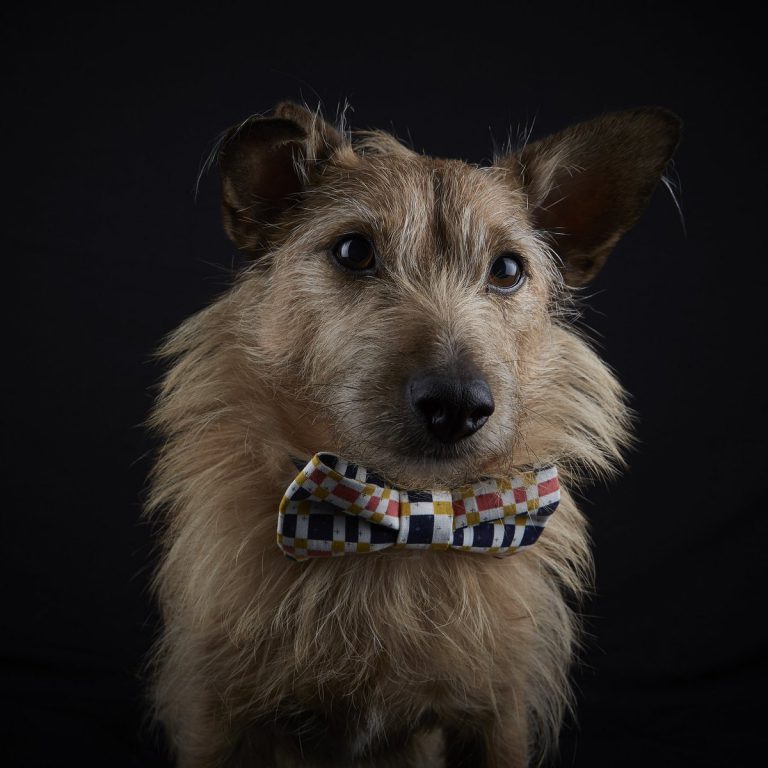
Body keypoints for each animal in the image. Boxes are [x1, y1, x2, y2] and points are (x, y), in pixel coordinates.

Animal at [147, 101, 680, 767]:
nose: (457, 404)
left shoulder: (499, 716)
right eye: (354, 250)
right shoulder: (216, 716)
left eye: (508, 269)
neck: (406, 518)